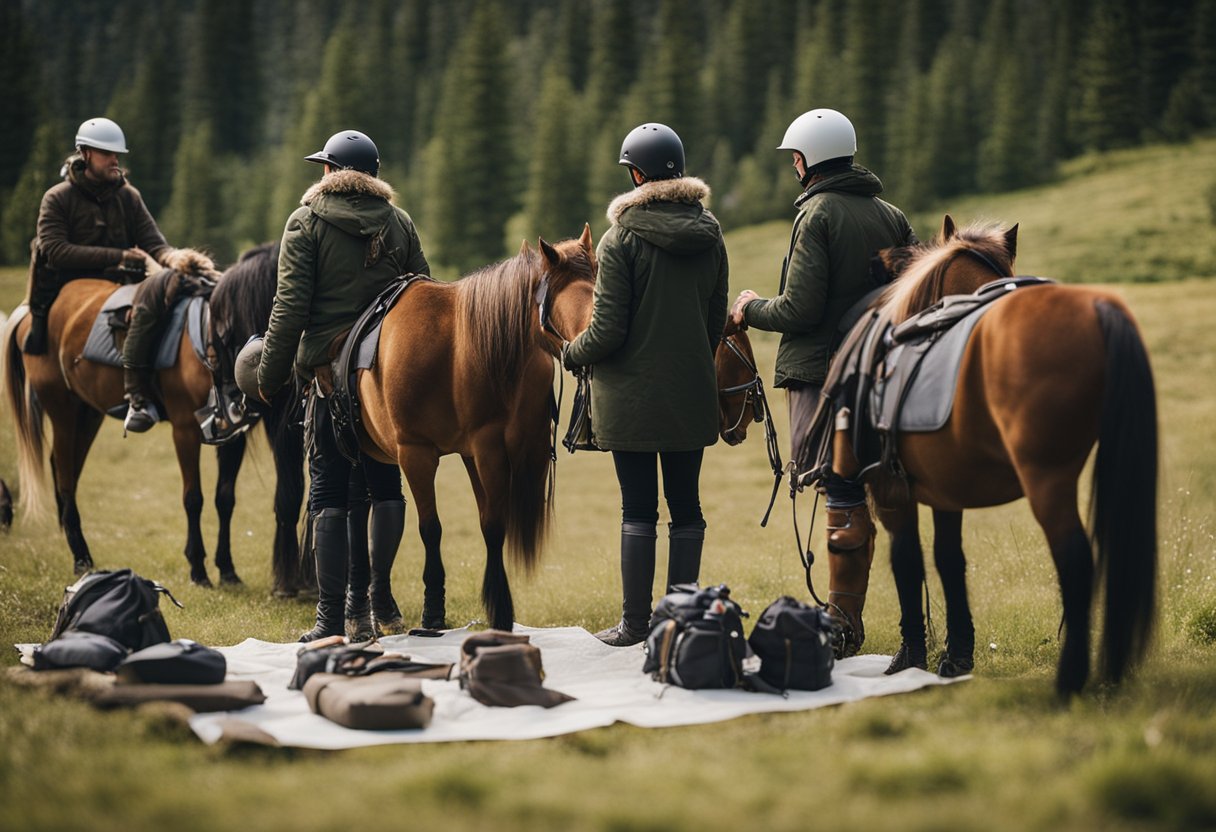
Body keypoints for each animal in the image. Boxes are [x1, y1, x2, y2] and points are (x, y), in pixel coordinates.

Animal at [2, 246, 306, 591]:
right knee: (65, 476)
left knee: (64, 468)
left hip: (87, 414)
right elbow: (193, 499)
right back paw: (82, 558)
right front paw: (198, 569)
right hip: (62, 410)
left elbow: (224, 499)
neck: (214, 340)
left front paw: (228, 570)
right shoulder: (185, 431)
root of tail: (29, 315)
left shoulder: (233, 435)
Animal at [352, 223, 598, 627]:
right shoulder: (431, 453)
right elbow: (438, 528)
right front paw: (439, 611)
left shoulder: (491, 450)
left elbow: (491, 524)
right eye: (567, 296)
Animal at [817, 216, 1157, 695]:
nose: (872, 263)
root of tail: (1097, 307)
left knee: (1074, 559)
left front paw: (910, 659)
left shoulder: (892, 493)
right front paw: (957, 656)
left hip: (1046, 479)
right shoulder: (945, 492)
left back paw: (1069, 680)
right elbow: (949, 561)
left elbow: (907, 561)